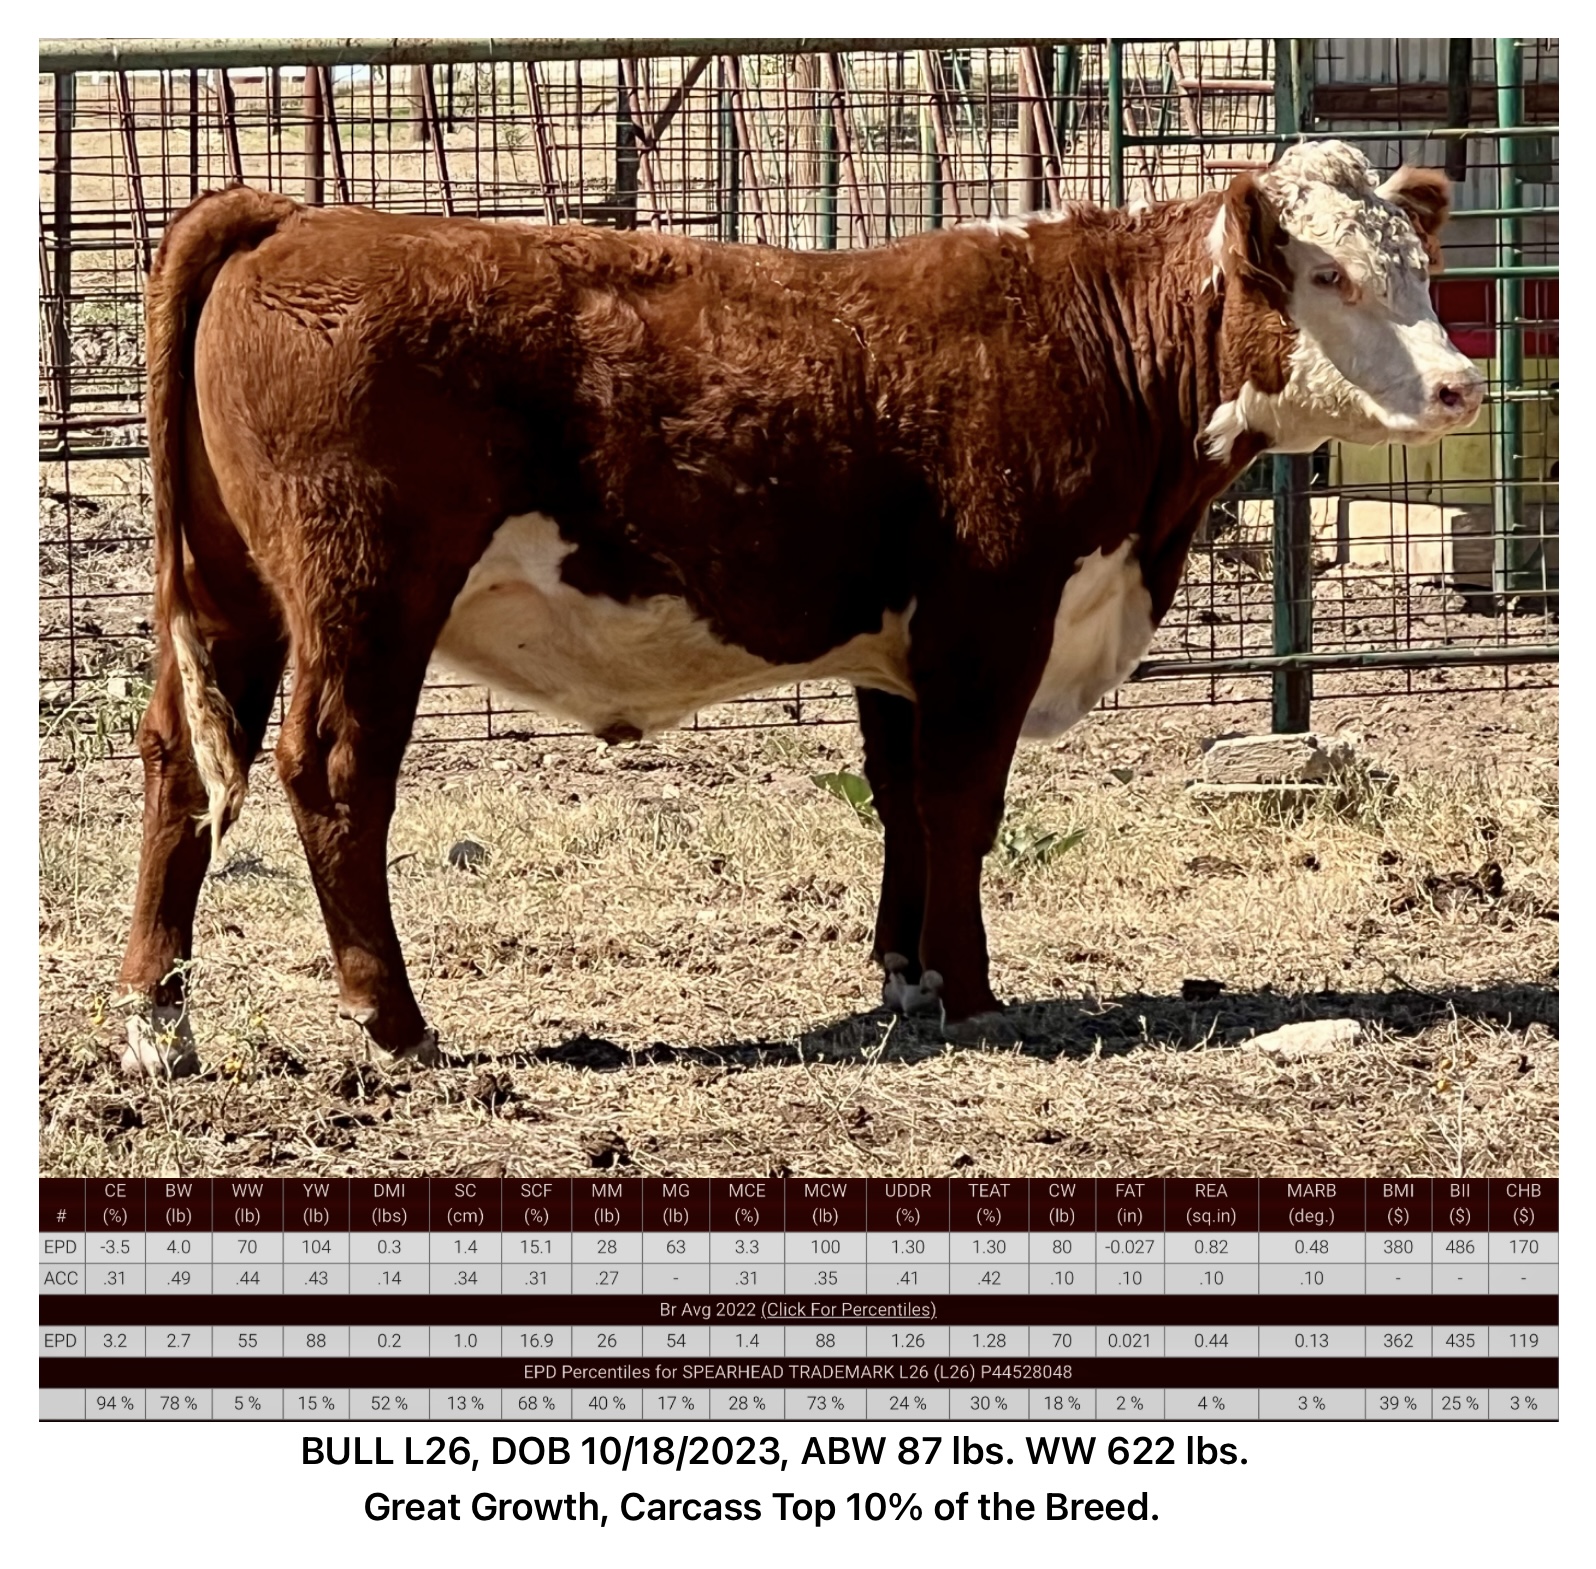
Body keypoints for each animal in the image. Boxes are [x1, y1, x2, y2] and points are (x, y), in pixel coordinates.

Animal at [115, 141, 1481, 1072]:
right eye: (1328, 273)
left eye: (1420, 268)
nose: (1460, 383)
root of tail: (293, 218)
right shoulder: (991, 620)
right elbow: (962, 805)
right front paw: (972, 993)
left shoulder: (901, 647)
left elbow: (903, 807)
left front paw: (908, 978)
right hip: (366, 596)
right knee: (335, 772)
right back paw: (393, 1020)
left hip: (231, 598)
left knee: (179, 763)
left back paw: (156, 1020)